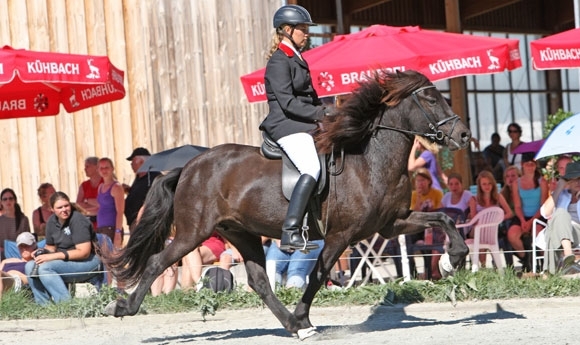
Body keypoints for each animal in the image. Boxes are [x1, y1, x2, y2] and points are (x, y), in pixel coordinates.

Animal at [105, 70, 472, 338]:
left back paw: (292, 325)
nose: (464, 136)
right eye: (430, 98)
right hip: (192, 232)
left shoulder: (390, 224)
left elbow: (443, 219)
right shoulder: (342, 235)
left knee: (259, 281)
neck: (370, 160)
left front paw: (450, 261)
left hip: (240, 233)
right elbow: (318, 275)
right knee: (157, 262)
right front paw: (304, 315)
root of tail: (189, 167)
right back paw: (122, 307)